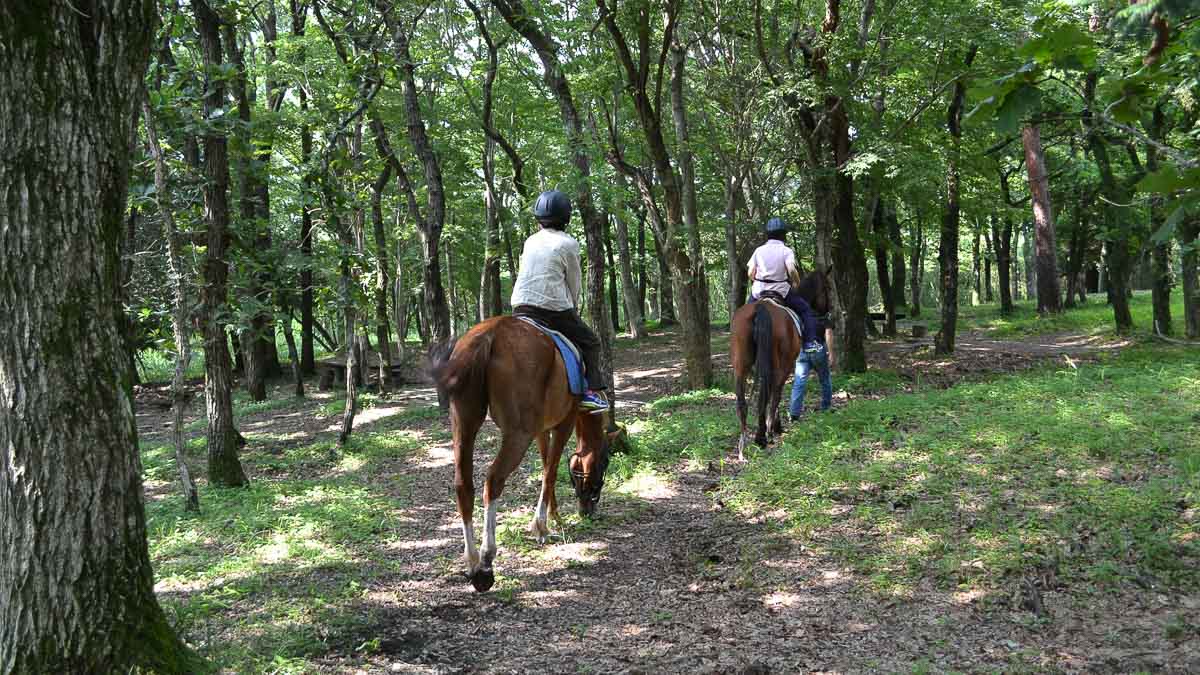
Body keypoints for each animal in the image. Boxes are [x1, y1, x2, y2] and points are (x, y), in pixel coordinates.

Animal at [432, 314, 614, 588]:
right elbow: (551, 470)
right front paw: (543, 525)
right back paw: (486, 561)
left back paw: (472, 562)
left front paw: (552, 515)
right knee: (494, 480)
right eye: (604, 465)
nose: (588, 510)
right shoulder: (565, 421)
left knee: (463, 484)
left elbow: (546, 465)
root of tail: (490, 333)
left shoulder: (541, 428)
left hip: (463, 420)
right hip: (518, 433)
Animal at [724, 265, 830, 458]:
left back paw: (743, 443)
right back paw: (763, 436)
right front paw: (774, 427)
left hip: (740, 365)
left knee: (743, 402)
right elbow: (778, 394)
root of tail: (760, 307)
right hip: (779, 364)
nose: (827, 311)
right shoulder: (787, 364)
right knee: (769, 394)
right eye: (828, 288)